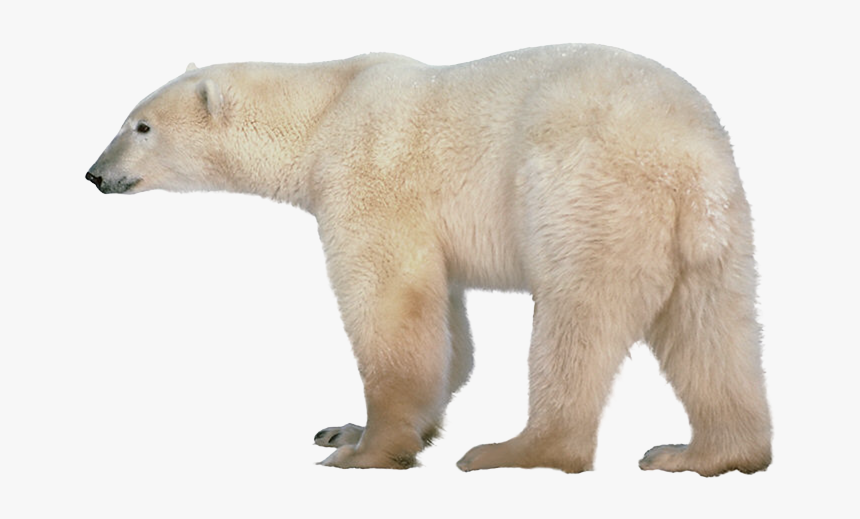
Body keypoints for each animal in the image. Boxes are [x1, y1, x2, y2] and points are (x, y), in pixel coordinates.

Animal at [86, 44, 772, 476]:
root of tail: (690, 152)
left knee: (578, 321)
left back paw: (513, 450)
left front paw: (363, 451)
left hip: (588, 192)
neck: (325, 107)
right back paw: (703, 454)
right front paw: (346, 429)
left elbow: (392, 305)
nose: (95, 173)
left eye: (141, 126)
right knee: (714, 333)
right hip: (714, 231)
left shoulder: (368, 175)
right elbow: (449, 332)